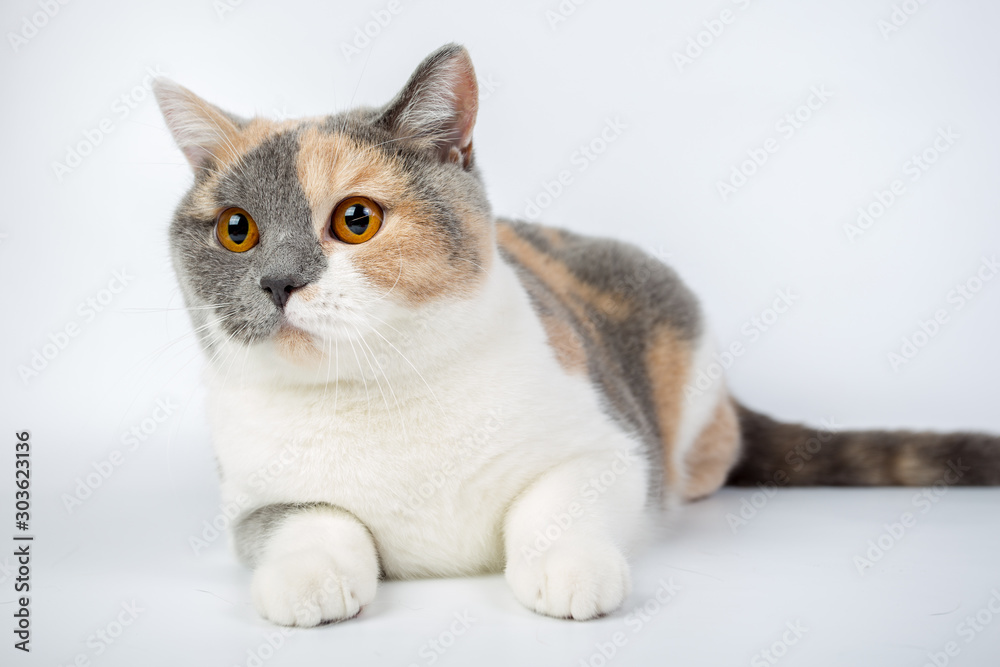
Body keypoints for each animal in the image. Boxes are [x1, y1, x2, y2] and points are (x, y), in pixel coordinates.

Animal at [150, 45, 1000, 628]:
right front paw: (311, 578)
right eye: (237, 230)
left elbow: (553, 502)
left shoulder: (614, 447)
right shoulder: (254, 502)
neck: (380, 391)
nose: (278, 282)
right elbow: (312, 522)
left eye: (356, 219)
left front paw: (567, 570)